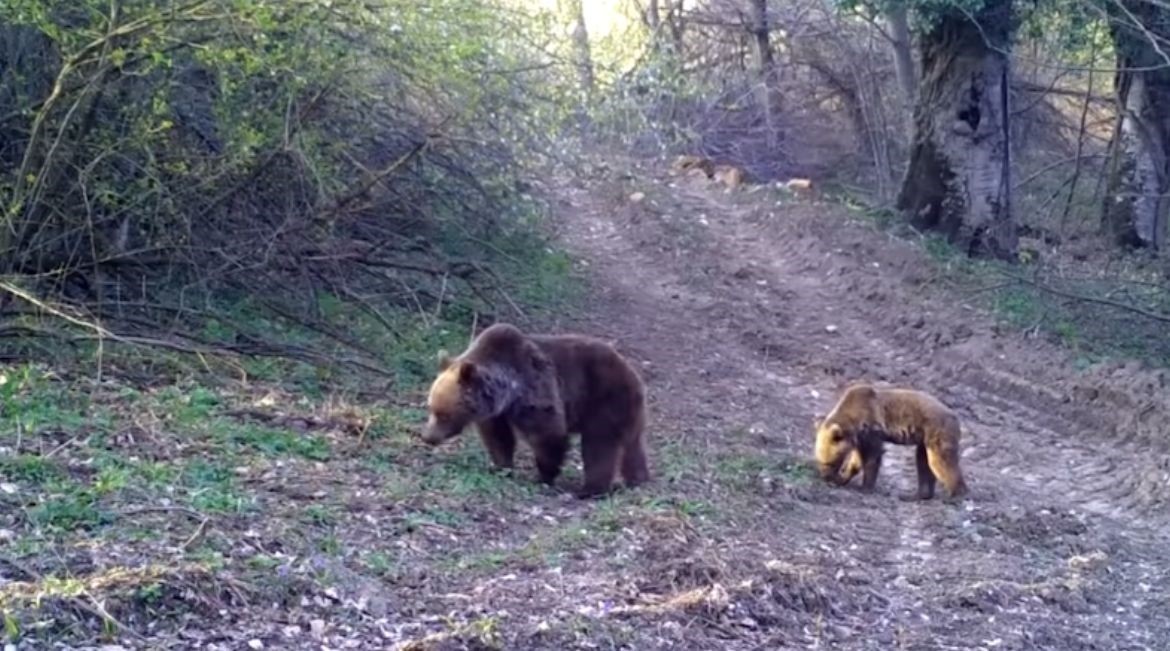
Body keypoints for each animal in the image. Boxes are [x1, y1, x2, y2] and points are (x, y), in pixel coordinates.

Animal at [418, 323, 650, 498]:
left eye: (443, 414)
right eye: (430, 407)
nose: (427, 437)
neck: (507, 391)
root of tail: (632, 372)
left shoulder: (534, 389)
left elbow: (548, 432)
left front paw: (543, 476)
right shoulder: (497, 413)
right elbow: (498, 438)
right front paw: (500, 467)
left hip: (605, 400)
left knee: (599, 445)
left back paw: (590, 490)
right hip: (628, 411)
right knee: (633, 446)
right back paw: (637, 479)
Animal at [814, 384, 968, 501]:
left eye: (829, 462)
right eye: (819, 460)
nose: (825, 477)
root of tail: (956, 417)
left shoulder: (871, 429)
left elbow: (872, 457)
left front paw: (865, 487)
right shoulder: (860, 438)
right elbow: (856, 460)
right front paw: (843, 478)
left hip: (937, 431)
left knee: (940, 462)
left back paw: (956, 495)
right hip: (924, 441)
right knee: (923, 462)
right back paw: (916, 495)